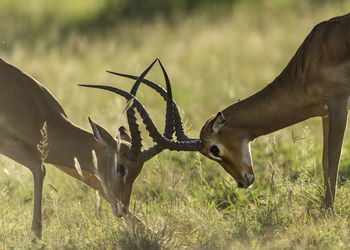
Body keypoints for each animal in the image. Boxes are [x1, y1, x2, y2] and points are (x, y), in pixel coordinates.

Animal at [0, 56, 175, 238]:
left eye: (138, 172)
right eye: (120, 167)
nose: (122, 209)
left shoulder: (54, 155)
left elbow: (94, 181)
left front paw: (152, 231)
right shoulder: (8, 144)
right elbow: (39, 170)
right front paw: (36, 236)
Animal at [88, 13, 350, 209]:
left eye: (214, 149)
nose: (243, 181)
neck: (307, 66)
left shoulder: (338, 103)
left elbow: (333, 158)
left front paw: (328, 211)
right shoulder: (325, 113)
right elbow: (326, 161)